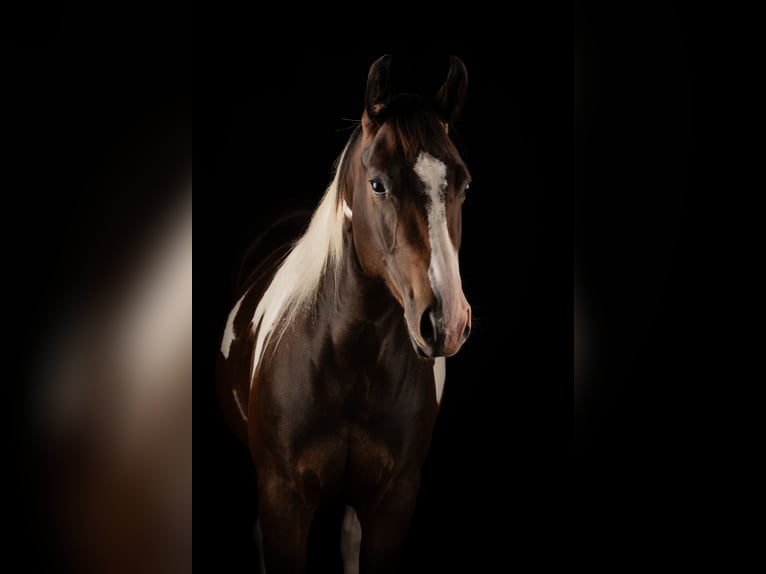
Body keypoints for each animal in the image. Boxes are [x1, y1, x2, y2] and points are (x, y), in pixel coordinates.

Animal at [217, 54, 472, 573]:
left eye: (463, 184)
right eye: (378, 184)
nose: (447, 321)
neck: (353, 355)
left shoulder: (393, 501)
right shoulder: (283, 497)